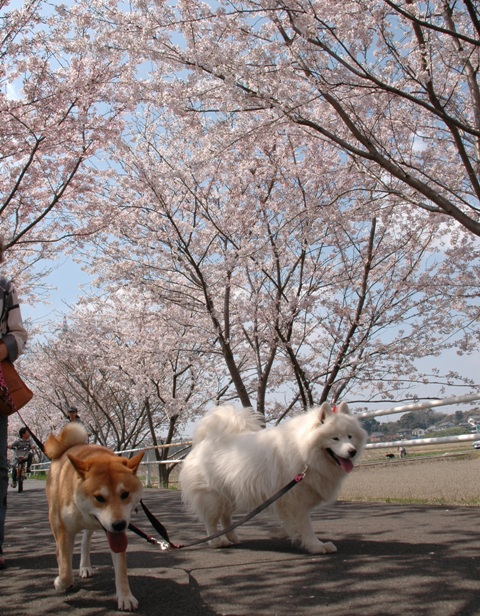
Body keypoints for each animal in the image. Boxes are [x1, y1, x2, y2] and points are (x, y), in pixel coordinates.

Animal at [45, 424, 144, 612]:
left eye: (125, 494)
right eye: (99, 498)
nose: (119, 525)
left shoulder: (116, 535)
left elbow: (121, 570)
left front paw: (125, 597)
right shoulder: (64, 530)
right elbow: (66, 571)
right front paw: (60, 582)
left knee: (85, 541)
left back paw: (85, 567)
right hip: (54, 519)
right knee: (60, 550)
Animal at [180, 402, 368, 556]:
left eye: (350, 436)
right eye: (335, 438)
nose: (352, 451)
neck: (304, 453)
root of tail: (205, 441)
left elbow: (294, 525)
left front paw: (283, 533)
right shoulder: (295, 502)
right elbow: (306, 526)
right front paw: (317, 546)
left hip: (231, 495)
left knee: (226, 518)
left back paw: (233, 537)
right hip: (213, 498)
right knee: (211, 522)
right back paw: (218, 542)